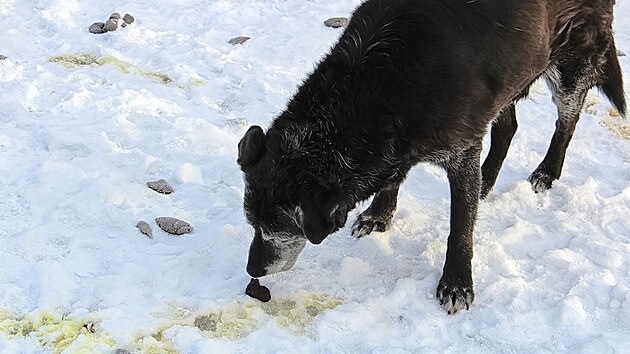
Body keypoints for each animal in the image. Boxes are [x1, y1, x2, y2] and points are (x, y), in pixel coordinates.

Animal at [237, 0, 628, 314]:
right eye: (253, 224)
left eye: (279, 228)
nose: (252, 270)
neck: (378, 85)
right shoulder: (401, 142)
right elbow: (393, 178)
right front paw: (379, 215)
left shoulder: (462, 152)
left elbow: (460, 229)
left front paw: (456, 283)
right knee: (508, 127)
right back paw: (487, 181)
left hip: (570, 67)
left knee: (567, 122)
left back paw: (547, 171)